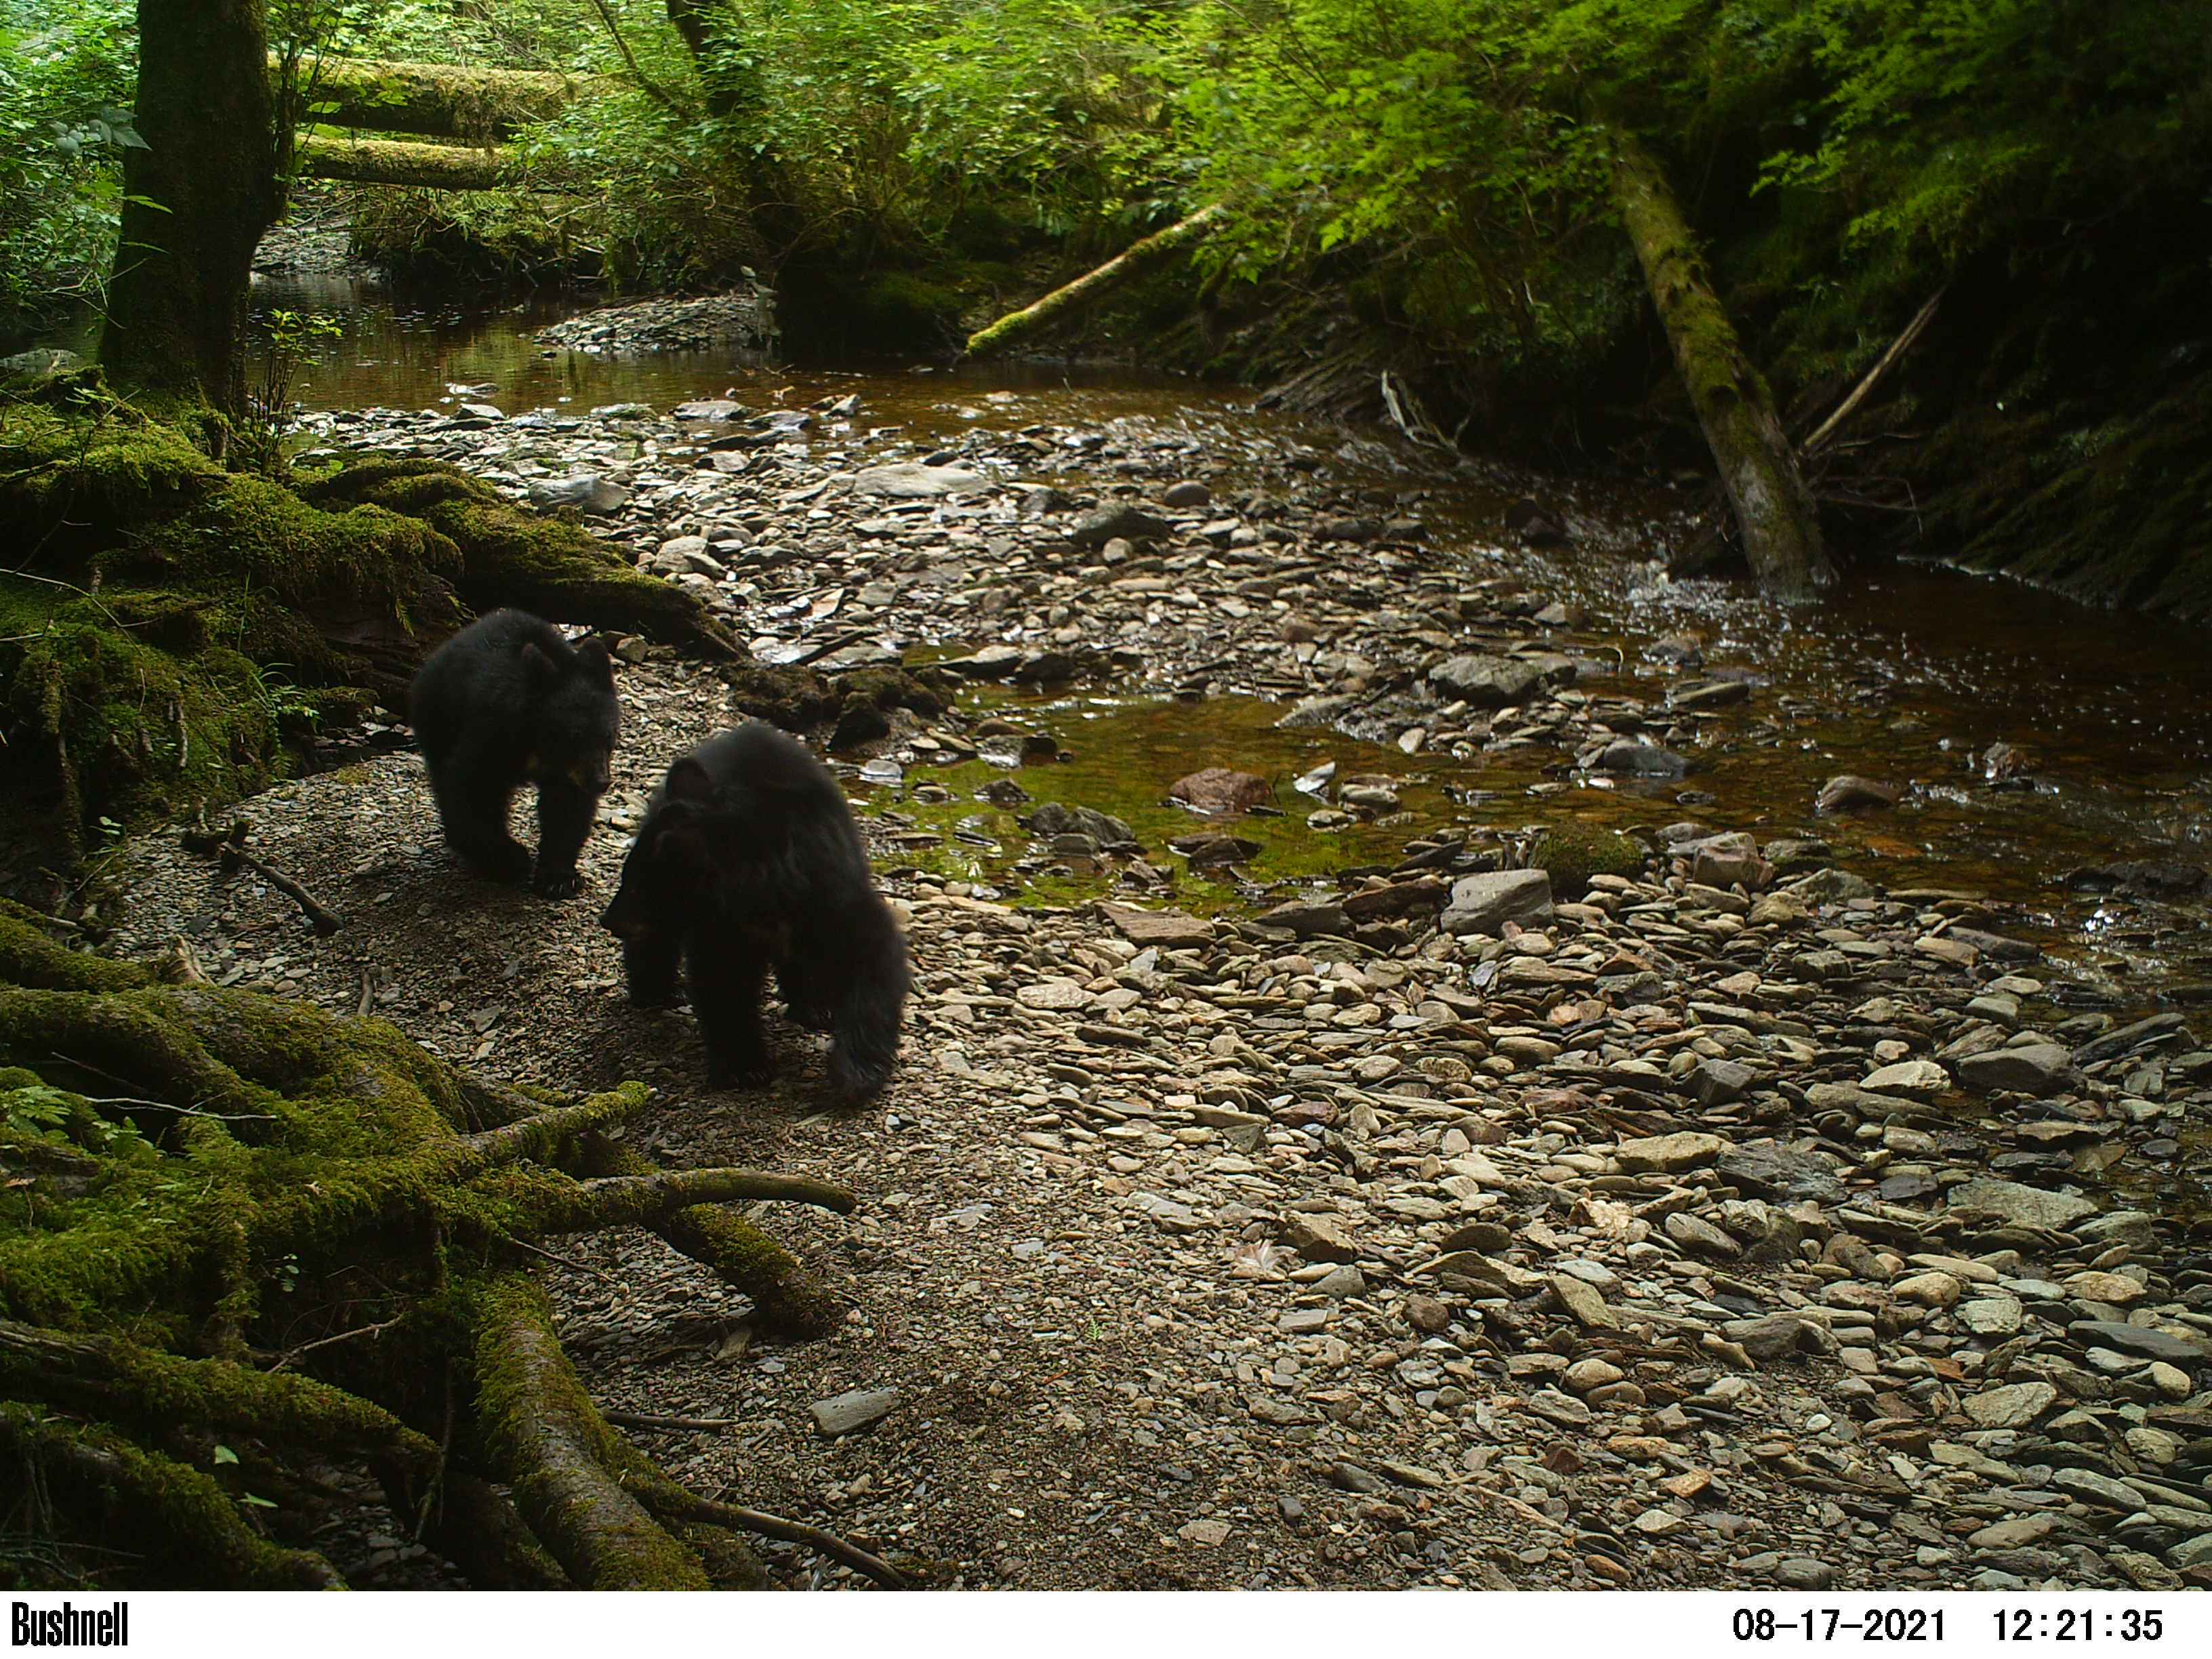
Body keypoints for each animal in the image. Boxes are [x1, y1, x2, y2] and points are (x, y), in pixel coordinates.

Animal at [408, 609, 620, 898]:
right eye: (574, 736)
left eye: (608, 735)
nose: (600, 782)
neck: (539, 746)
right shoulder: (493, 733)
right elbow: (471, 788)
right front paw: (509, 859)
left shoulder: (570, 773)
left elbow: (567, 808)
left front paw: (558, 878)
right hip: (437, 717)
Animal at [599, 723, 908, 1100]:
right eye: (629, 880)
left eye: (639, 889)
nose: (608, 920)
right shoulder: (723, 925)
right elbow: (724, 977)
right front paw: (744, 1068)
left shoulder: (834, 892)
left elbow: (873, 963)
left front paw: (856, 1074)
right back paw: (655, 991)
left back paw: (815, 1007)